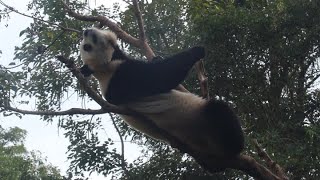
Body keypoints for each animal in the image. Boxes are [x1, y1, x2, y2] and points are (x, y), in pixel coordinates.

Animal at [79, 27, 244, 162]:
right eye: (87, 47)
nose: (86, 31)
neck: (101, 67)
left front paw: (156, 58)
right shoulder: (120, 77)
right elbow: (162, 77)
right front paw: (196, 50)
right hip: (197, 121)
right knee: (219, 112)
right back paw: (236, 148)